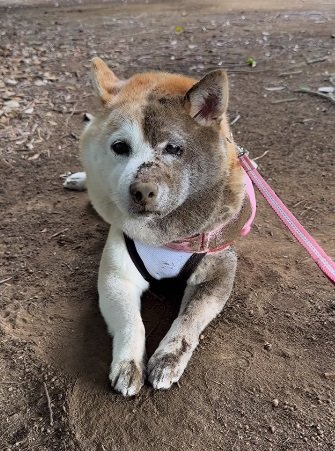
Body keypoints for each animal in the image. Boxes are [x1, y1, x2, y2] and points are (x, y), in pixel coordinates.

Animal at [64, 58, 256, 398]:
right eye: (120, 147)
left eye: (174, 149)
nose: (142, 191)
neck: (166, 236)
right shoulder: (116, 278)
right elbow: (131, 322)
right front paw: (128, 365)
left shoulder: (218, 273)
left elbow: (188, 321)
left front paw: (167, 359)